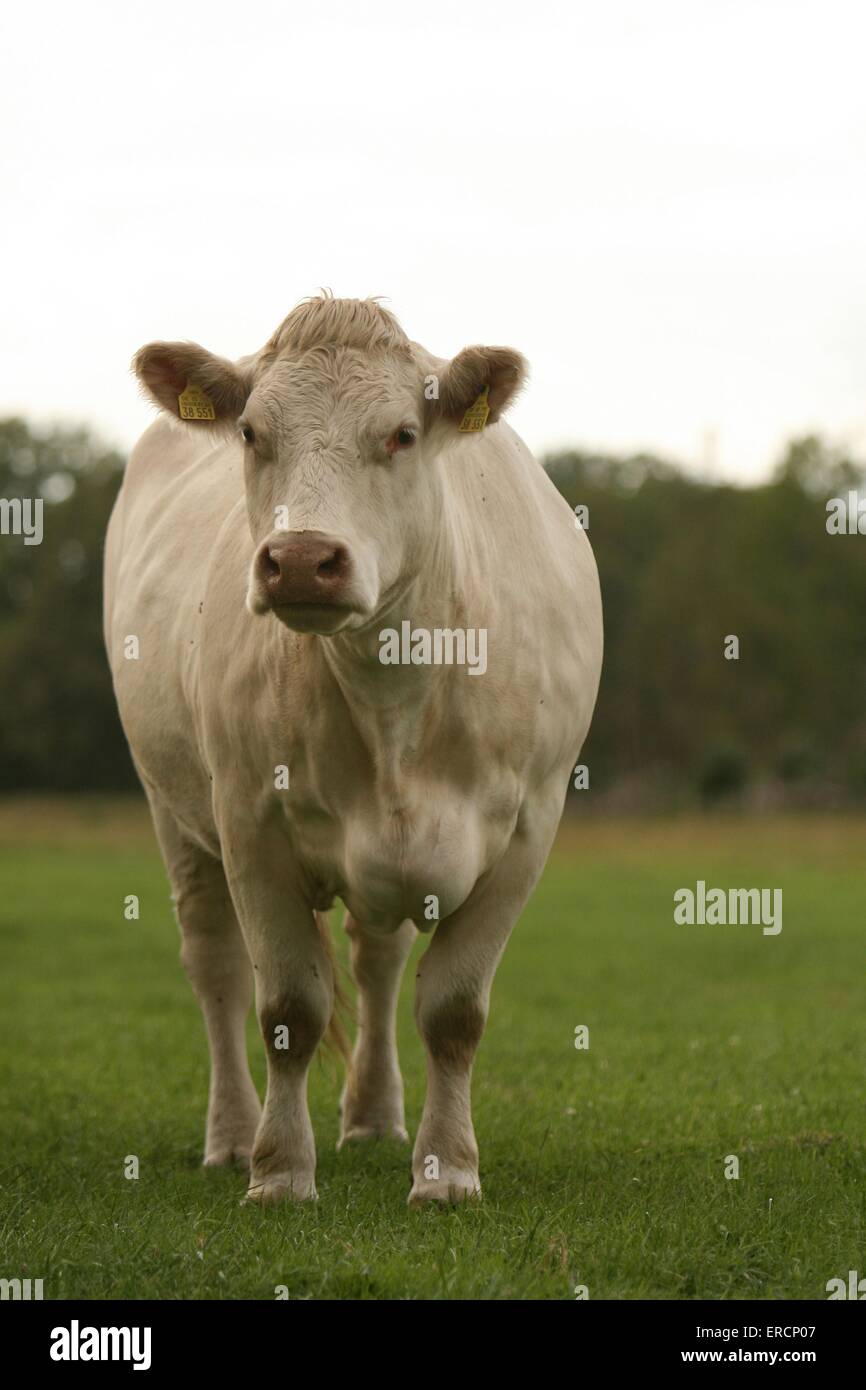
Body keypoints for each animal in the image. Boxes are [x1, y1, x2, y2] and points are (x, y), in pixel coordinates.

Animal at [103, 296, 603, 1206]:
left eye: (403, 433)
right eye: (251, 433)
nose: (302, 559)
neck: (394, 696)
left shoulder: (527, 831)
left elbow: (453, 1011)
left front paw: (447, 1170)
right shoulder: (249, 823)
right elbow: (286, 1010)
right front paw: (278, 1172)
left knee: (378, 963)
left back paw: (373, 1118)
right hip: (172, 809)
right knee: (216, 968)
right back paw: (231, 1135)